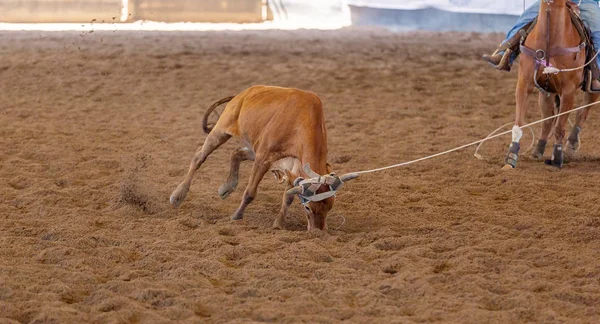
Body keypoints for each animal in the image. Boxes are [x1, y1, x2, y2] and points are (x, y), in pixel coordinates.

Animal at [504, 0, 596, 168]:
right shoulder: (524, 83)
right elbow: (519, 123)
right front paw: (511, 157)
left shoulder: (568, 91)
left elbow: (560, 127)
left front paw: (557, 158)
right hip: (546, 91)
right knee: (547, 120)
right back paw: (537, 150)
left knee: (582, 113)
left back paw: (570, 146)